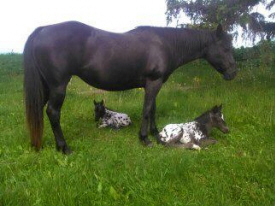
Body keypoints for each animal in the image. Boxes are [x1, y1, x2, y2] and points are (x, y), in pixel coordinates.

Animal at [23, 20, 238, 154]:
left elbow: (153, 110)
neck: (165, 44)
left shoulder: (155, 84)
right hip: (58, 86)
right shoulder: (153, 83)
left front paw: (155, 133)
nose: (233, 73)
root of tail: (43, 30)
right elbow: (146, 110)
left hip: (46, 87)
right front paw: (145, 139)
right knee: (53, 112)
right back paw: (64, 147)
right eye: (226, 48)